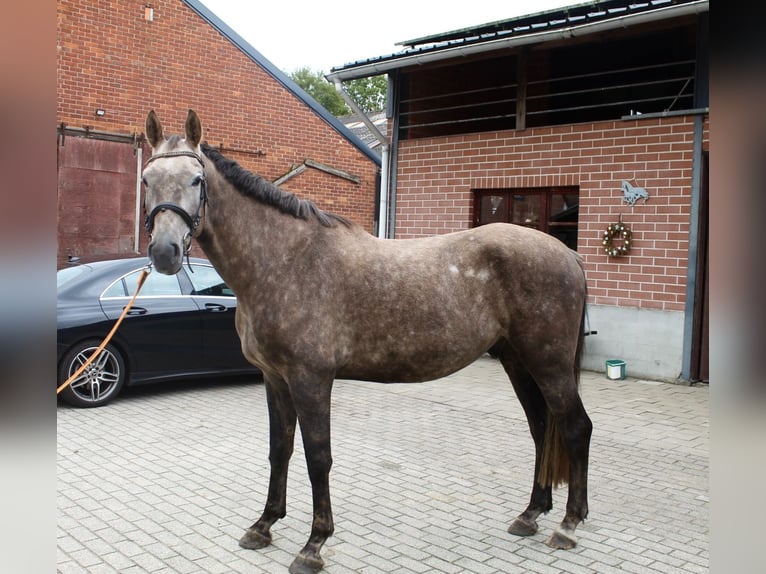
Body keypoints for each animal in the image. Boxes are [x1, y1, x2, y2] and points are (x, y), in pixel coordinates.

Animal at [141, 109, 592, 574]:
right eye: (146, 179)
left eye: (197, 180)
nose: (164, 252)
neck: (284, 261)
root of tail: (568, 254)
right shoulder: (274, 378)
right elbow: (279, 449)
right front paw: (263, 525)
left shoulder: (311, 379)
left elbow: (318, 456)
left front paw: (313, 545)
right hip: (518, 360)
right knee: (541, 429)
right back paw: (530, 514)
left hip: (550, 363)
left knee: (576, 428)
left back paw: (568, 525)